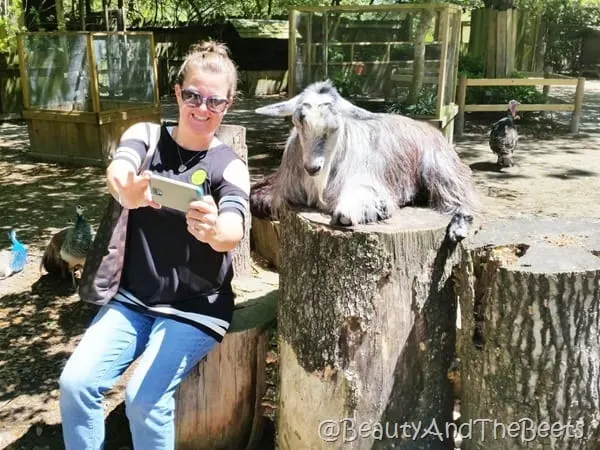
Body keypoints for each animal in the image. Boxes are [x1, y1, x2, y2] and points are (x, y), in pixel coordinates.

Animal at [251, 81, 480, 243]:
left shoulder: (365, 184)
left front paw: (379, 209)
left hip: (440, 166)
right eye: (298, 122)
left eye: (334, 127)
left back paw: (459, 227)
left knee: (460, 195)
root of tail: (431, 129)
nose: (312, 167)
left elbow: (344, 214)